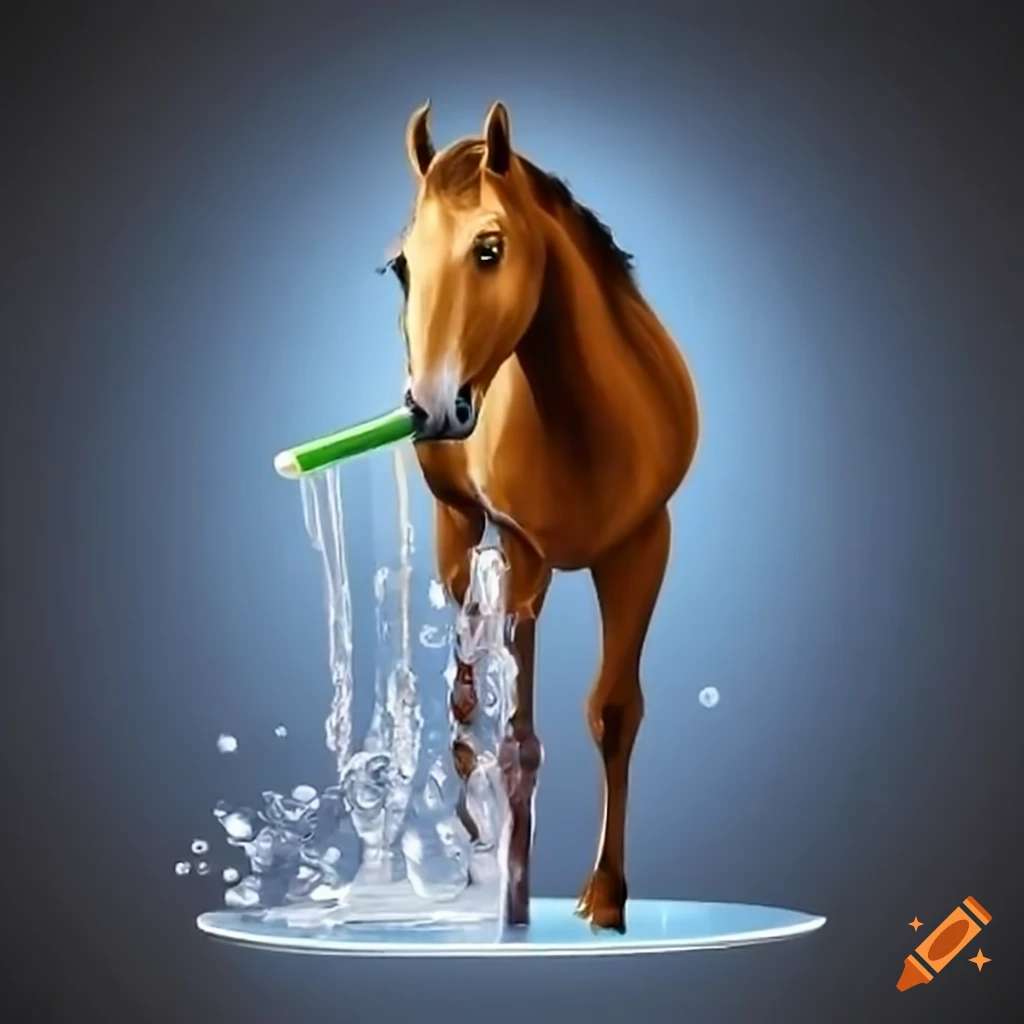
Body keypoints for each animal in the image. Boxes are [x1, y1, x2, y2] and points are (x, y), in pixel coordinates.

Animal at [383, 100, 699, 932]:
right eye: (400, 266)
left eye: (489, 248)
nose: (432, 408)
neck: (592, 423)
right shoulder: (525, 561)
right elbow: (517, 743)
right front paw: (515, 903)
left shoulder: (643, 547)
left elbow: (615, 712)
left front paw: (607, 898)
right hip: (458, 528)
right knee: (467, 699)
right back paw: (468, 852)